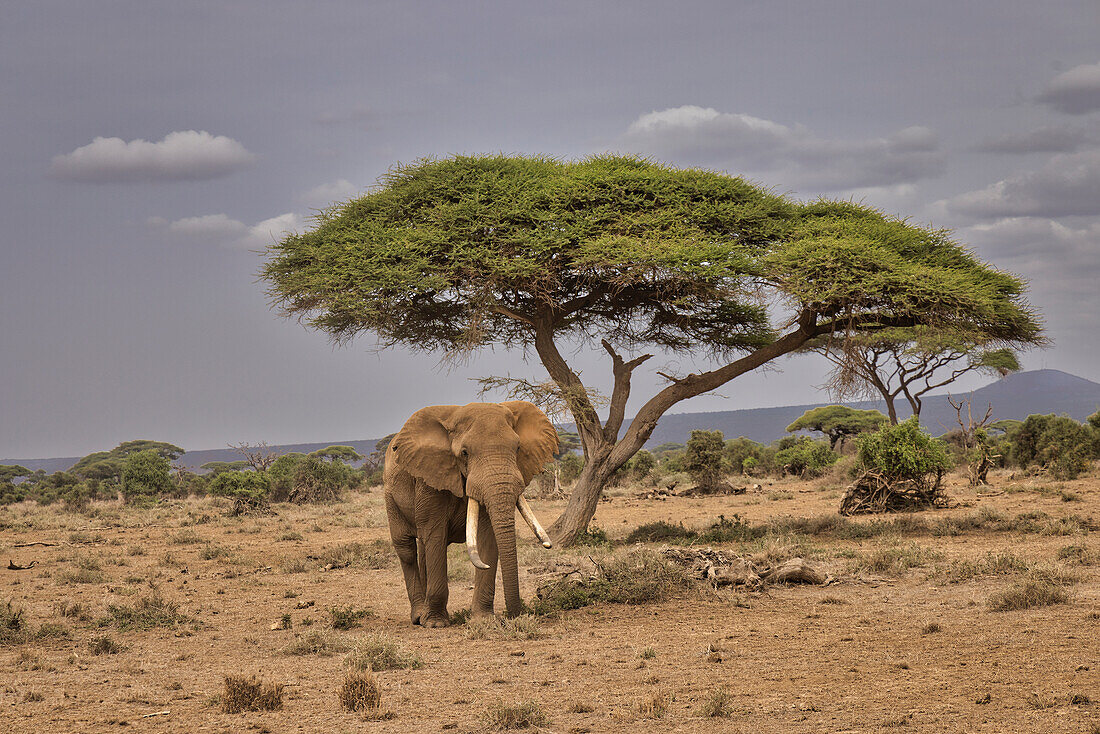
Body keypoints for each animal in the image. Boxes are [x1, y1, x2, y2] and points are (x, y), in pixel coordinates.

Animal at [385, 402, 558, 625]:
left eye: (518, 448)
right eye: (465, 453)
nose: (515, 615)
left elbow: (487, 535)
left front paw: (483, 620)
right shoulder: (429, 479)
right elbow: (435, 534)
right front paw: (436, 624)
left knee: (422, 547)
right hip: (390, 496)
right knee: (406, 548)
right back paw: (418, 617)